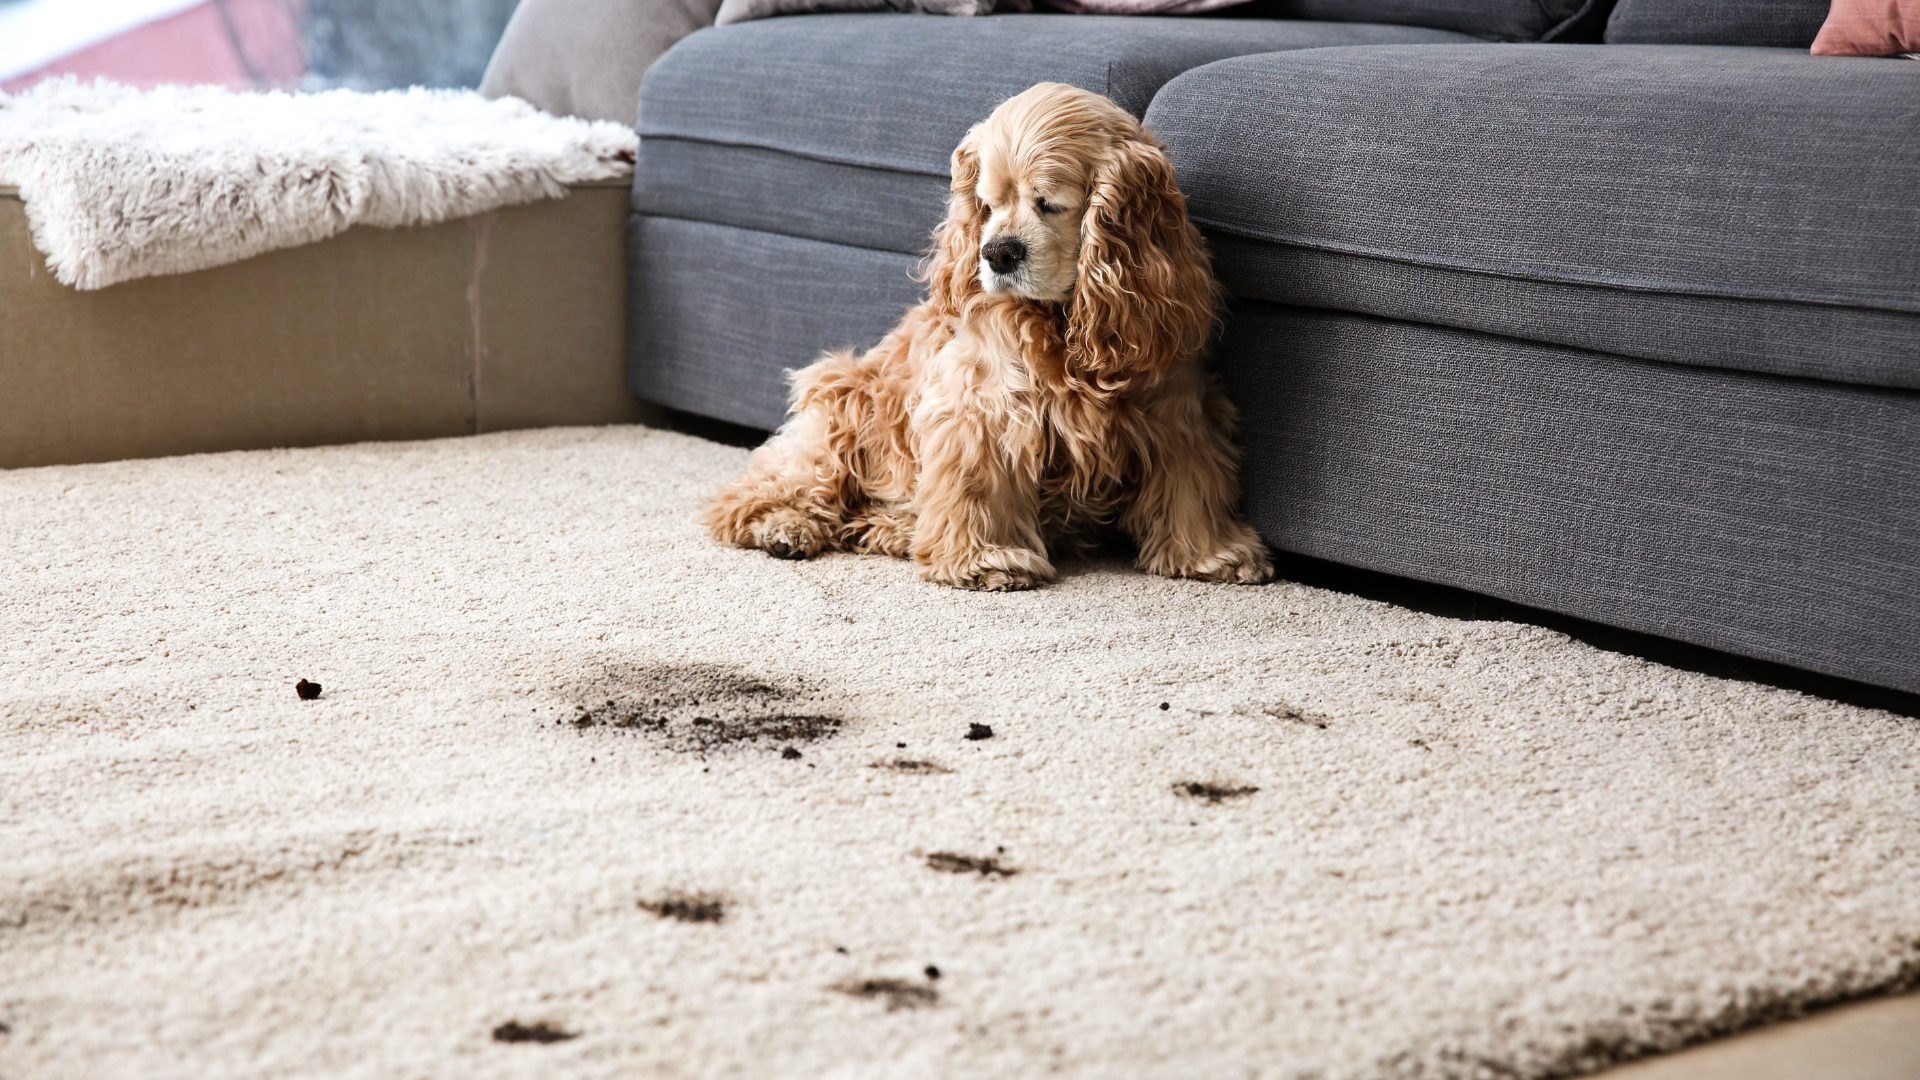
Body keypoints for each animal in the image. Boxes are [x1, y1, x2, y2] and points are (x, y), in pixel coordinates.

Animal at [706, 80, 1274, 591]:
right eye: (988, 202)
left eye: (1049, 203)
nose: (997, 252)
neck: (1062, 323)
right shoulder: (980, 406)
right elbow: (977, 485)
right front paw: (985, 561)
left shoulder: (1176, 408)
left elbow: (1190, 485)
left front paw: (1211, 554)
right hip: (843, 406)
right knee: (755, 492)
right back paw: (783, 527)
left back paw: (894, 529)